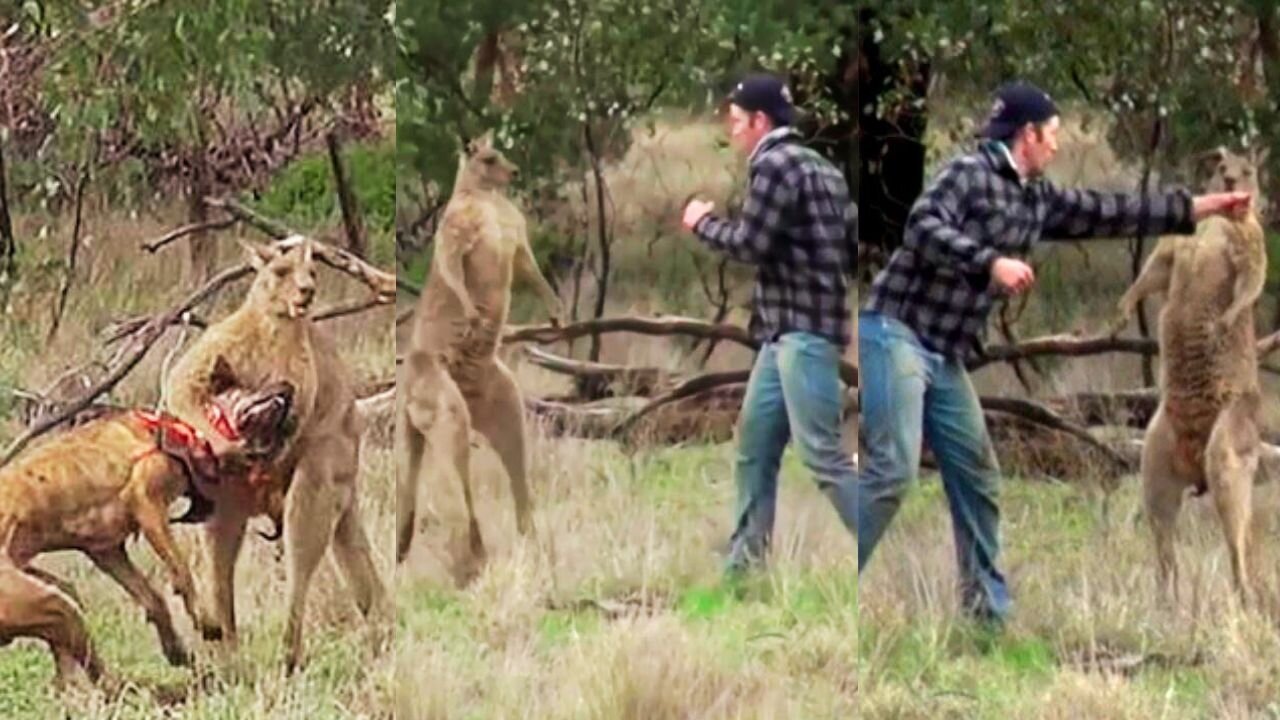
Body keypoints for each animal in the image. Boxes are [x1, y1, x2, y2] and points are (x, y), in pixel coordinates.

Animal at [0, 371, 293, 686]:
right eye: (241, 386)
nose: (287, 385)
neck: (186, 433)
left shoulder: (107, 550)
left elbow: (152, 598)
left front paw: (176, 649)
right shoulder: (148, 504)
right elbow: (182, 572)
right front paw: (206, 622)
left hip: (55, 598)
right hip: (49, 603)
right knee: (97, 672)